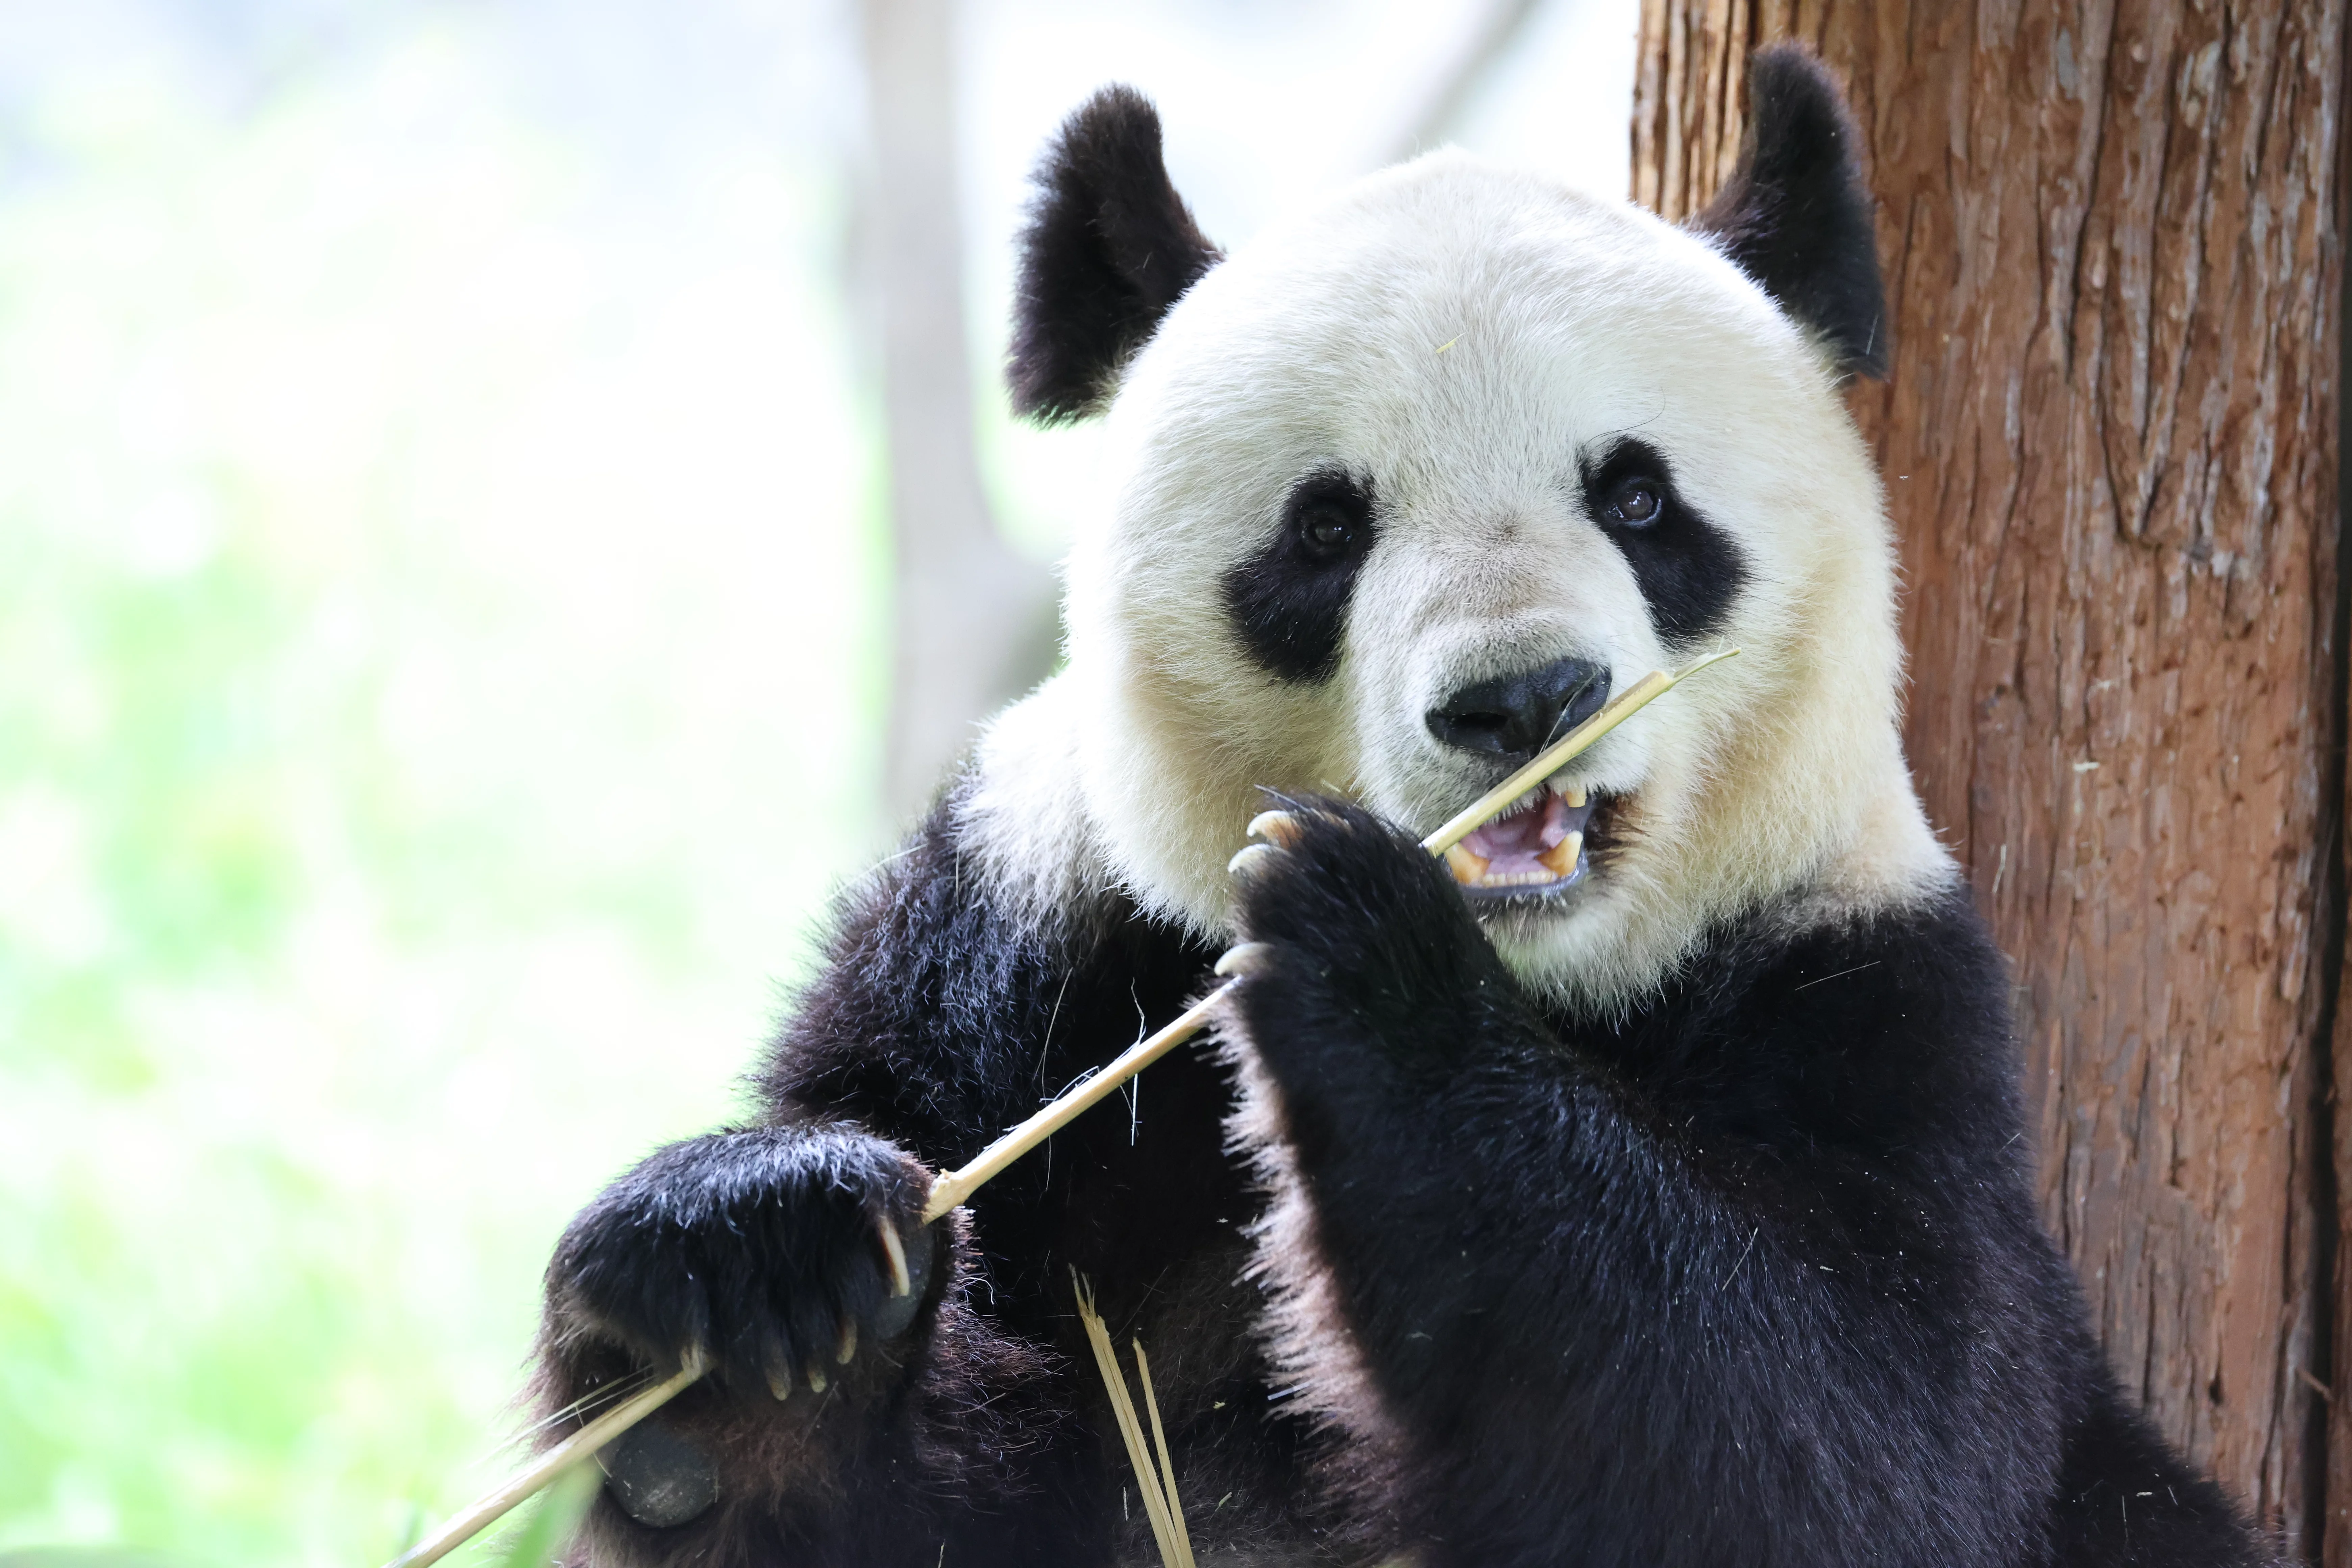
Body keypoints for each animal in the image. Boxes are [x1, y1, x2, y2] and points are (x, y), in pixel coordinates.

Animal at [533, 45, 2264, 1568]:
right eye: (1323, 527)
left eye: (1640, 497)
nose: (1524, 700)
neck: (1553, 976)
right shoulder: (1022, 948)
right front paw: (761, 1292)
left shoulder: (1874, 997)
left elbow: (1856, 1439)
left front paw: (1363, 963)